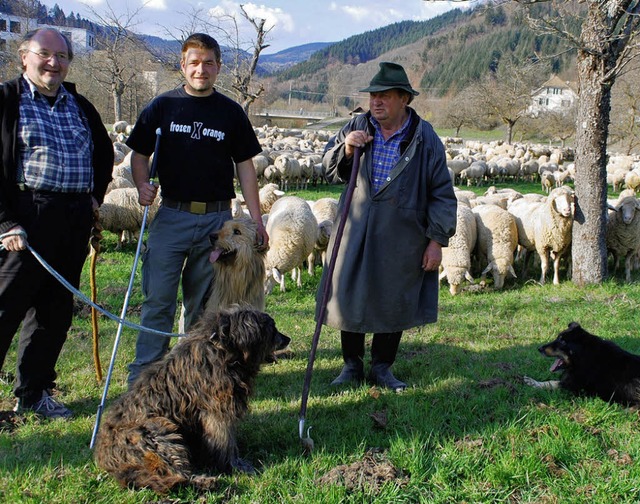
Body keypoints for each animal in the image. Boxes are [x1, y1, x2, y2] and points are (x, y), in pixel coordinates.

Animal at [94, 308, 292, 492]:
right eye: (271, 328)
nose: (287, 339)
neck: (223, 350)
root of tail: (107, 457)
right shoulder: (217, 414)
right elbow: (226, 443)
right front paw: (236, 466)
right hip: (158, 432)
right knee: (176, 475)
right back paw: (204, 481)